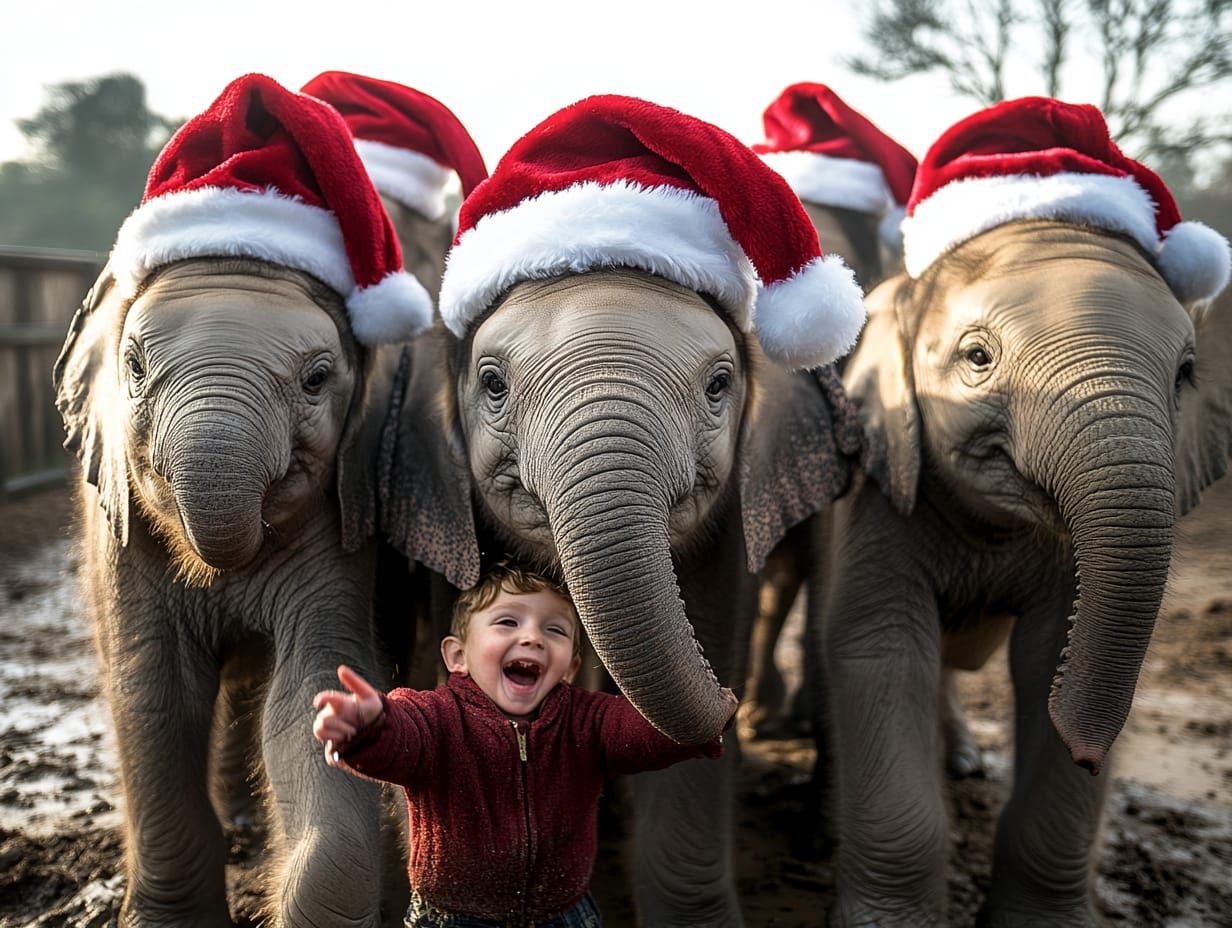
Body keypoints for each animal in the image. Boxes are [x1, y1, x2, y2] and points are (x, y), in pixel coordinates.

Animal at [813, 218, 1232, 926]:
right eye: (977, 357)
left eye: (1185, 374)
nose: (1089, 756)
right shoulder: (885, 480)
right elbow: (882, 648)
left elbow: (1046, 659)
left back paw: (961, 761)